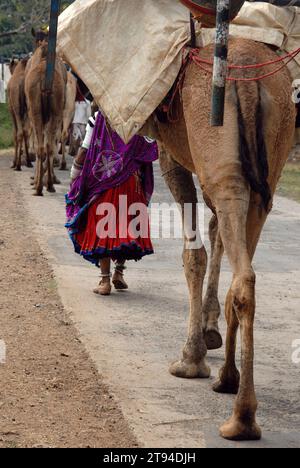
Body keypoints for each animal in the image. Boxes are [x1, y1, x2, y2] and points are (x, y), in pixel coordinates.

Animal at [24, 44, 66, 196]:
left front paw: (36, 179)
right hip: (55, 111)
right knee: (48, 146)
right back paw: (48, 185)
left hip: (36, 112)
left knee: (41, 147)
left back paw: (39, 187)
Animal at [148, 37, 296, 442]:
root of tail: (247, 78)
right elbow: (214, 232)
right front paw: (209, 329)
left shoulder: (172, 154)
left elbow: (193, 254)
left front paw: (190, 357)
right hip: (270, 161)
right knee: (243, 257)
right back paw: (230, 380)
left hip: (217, 148)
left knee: (240, 270)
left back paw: (240, 418)